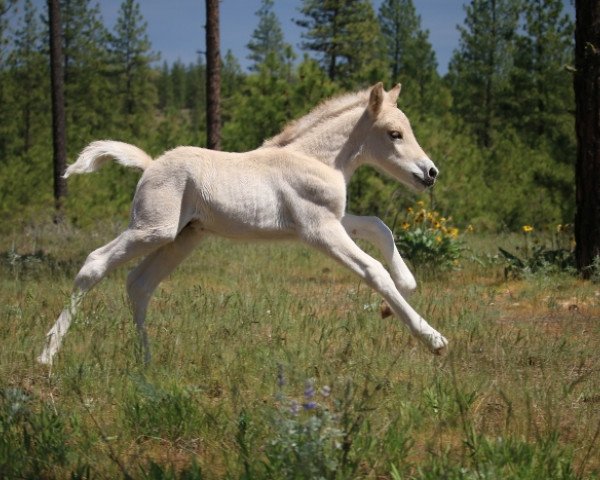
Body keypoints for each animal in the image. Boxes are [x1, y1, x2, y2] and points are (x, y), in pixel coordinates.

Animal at [37, 83, 448, 368]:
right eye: (394, 133)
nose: (430, 173)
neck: (318, 158)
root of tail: (150, 164)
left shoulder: (333, 217)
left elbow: (379, 226)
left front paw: (408, 281)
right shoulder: (318, 229)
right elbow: (373, 270)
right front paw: (433, 338)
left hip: (183, 238)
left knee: (138, 284)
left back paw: (147, 361)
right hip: (152, 229)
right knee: (94, 263)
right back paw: (47, 355)